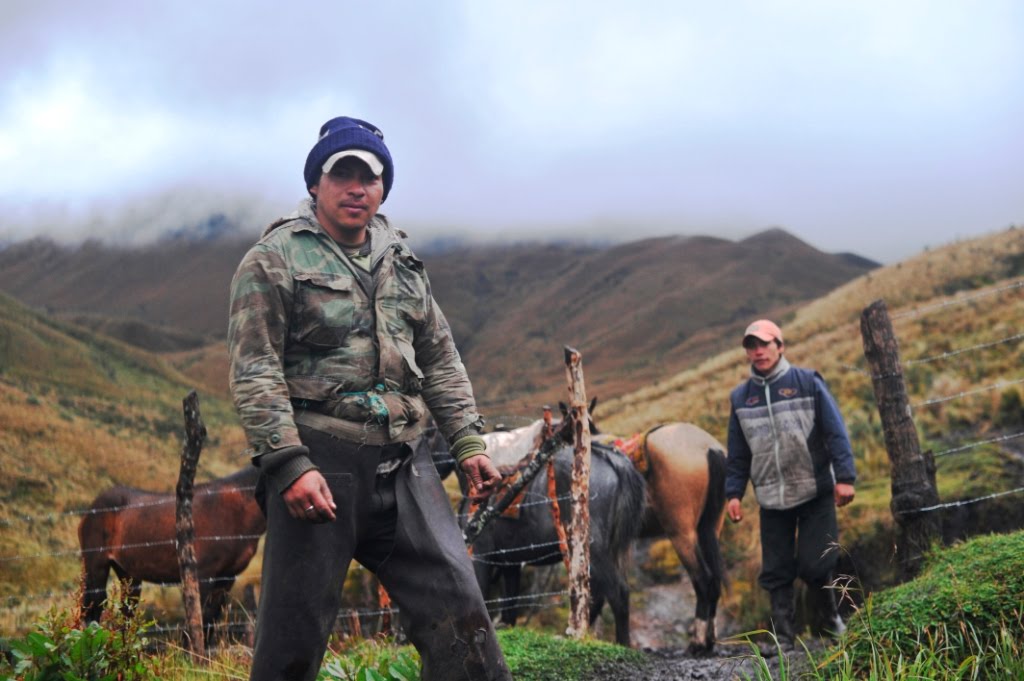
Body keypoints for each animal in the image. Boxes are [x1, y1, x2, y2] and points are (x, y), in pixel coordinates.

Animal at [77, 465, 265, 645]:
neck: (236, 509)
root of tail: (90, 509)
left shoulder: (226, 579)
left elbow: (209, 624)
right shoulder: (203, 577)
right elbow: (196, 624)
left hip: (128, 575)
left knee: (126, 612)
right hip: (96, 566)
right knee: (93, 609)